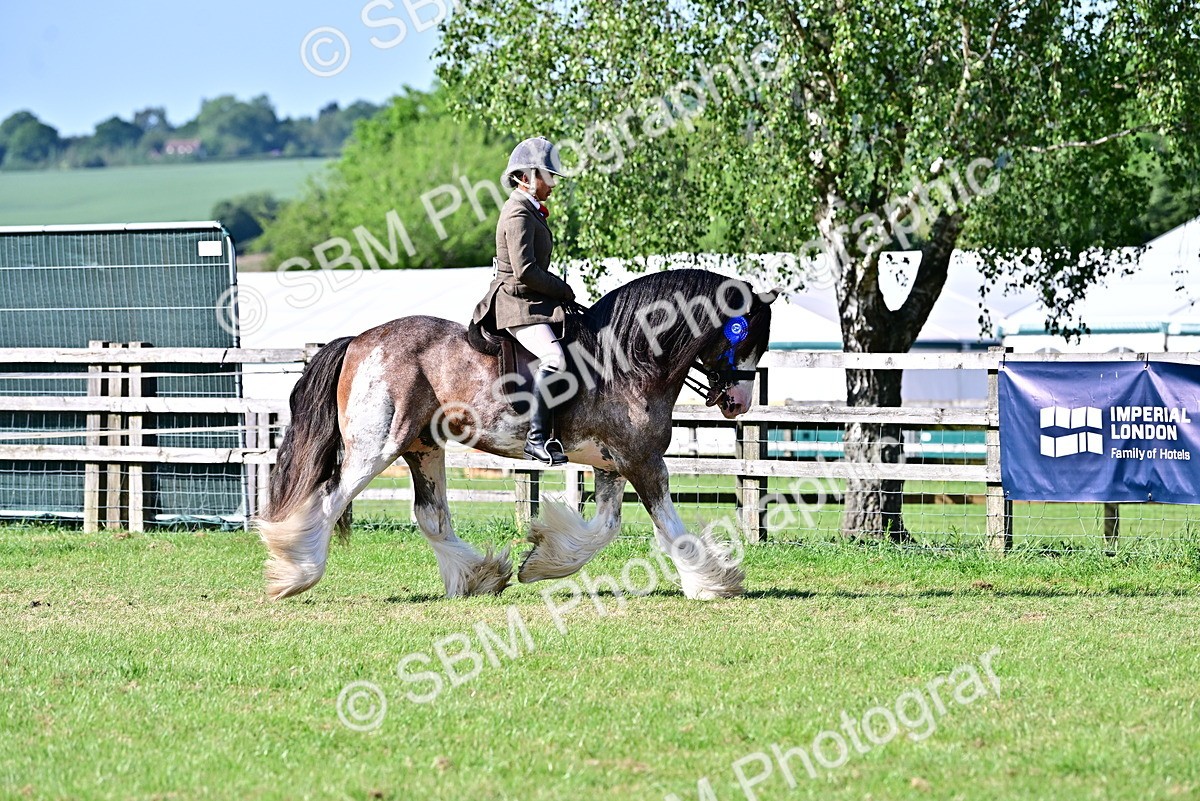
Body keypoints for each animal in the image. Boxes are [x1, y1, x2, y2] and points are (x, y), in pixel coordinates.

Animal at [257, 269, 778, 601]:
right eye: (746, 335)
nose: (738, 402)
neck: (629, 358)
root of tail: (359, 342)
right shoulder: (642, 461)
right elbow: (669, 527)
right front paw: (713, 584)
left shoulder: (612, 463)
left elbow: (604, 528)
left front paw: (542, 560)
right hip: (376, 448)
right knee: (329, 500)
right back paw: (297, 575)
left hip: (422, 448)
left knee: (431, 516)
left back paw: (478, 577)